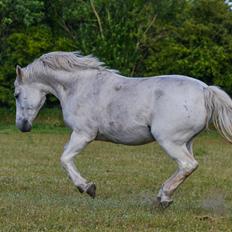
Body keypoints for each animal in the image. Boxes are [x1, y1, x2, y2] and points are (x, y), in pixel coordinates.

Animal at [14, 51, 232, 208]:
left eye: (16, 94)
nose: (22, 126)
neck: (79, 87)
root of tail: (205, 90)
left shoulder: (83, 134)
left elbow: (65, 159)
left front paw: (87, 188)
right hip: (185, 142)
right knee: (184, 167)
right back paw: (163, 196)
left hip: (169, 140)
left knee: (188, 165)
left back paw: (163, 199)